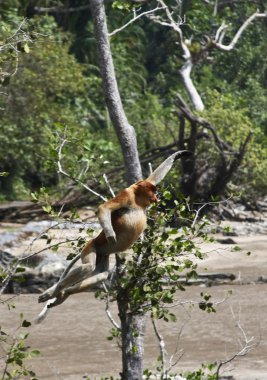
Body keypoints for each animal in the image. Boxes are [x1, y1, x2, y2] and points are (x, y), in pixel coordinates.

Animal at [35, 150, 192, 322]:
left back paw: (63, 294)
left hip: (102, 254)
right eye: (153, 192)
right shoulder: (126, 195)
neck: (138, 201)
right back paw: (54, 292)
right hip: (92, 245)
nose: (156, 198)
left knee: (101, 275)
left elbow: (154, 176)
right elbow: (104, 208)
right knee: (87, 267)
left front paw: (179, 154)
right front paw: (111, 235)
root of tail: (94, 241)